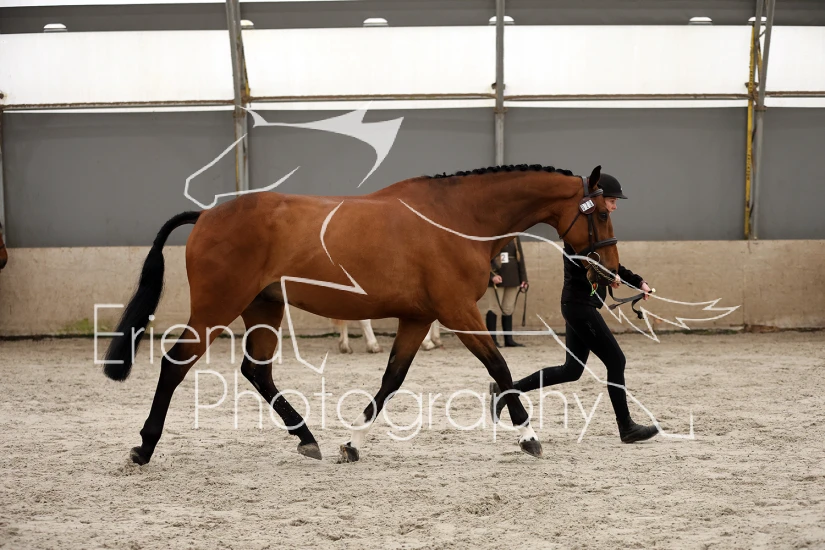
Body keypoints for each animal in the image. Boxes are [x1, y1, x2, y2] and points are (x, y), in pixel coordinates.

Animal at [102, 164, 619, 465]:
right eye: (601, 214)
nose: (611, 272)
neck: (455, 217)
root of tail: (207, 215)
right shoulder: (457, 310)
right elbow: (500, 367)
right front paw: (527, 436)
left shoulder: (419, 318)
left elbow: (391, 380)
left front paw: (352, 443)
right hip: (218, 307)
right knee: (176, 365)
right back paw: (144, 446)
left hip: (263, 307)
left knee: (257, 371)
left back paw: (307, 438)